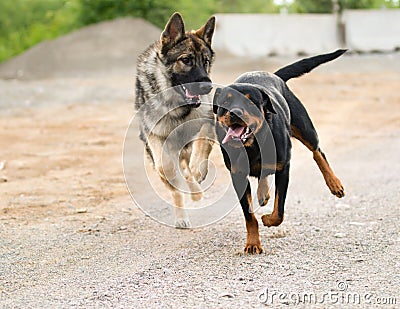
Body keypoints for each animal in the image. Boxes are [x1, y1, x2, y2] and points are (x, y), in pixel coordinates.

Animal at [134, 13, 216, 227]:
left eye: (205, 61)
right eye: (186, 60)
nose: (208, 87)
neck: (179, 108)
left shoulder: (208, 121)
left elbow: (202, 142)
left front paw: (199, 169)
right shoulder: (156, 137)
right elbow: (167, 168)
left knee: (187, 169)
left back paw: (196, 191)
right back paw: (182, 216)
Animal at [212, 48, 346, 253]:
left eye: (250, 103)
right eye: (225, 102)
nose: (235, 112)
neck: (253, 145)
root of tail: (274, 75)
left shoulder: (284, 168)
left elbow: (279, 211)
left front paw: (267, 219)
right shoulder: (238, 175)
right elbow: (249, 216)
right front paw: (253, 243)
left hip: (304, 127)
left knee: (317, 151)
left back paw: (334, 183)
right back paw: (263, 193)